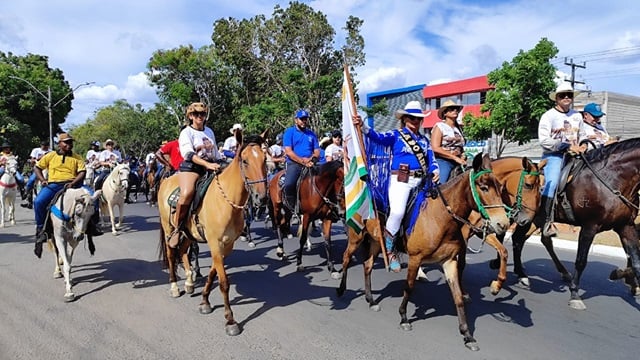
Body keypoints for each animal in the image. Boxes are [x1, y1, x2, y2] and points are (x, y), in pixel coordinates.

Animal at [158, 134, 268, 336]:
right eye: (245, 161)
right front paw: (230, 320)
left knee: (183, 251)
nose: (262, 198)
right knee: (171, 254)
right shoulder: (215, 243)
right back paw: (175, 287)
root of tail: (166, 181)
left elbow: (213, 272)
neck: (226, 202)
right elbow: (223, 281)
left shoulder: (226, 245)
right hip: (168, 228)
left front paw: (204, 302)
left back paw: (189, 283)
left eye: (265, 159)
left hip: (188, 233)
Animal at [336, 153, 510, 350]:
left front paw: (467, 335)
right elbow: (409, 286)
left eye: (500, 188)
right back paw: (341, 289)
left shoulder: (449, 261)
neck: (441, 217)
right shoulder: (415, 258)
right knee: (346, 258)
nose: (503, 224)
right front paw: (404, 317)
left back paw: (371, 300)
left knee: (368, 266)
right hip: (356, 237)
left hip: (375, 241)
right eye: (483, 187)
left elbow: (457, 296)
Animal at [504, 138, 640, 310]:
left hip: (532, 219)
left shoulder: (625, 226)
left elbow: (636, 262)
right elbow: (581, 260)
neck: (612, 178)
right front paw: (575, 294)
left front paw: (625, 278)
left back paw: (526, 273)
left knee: (523, 239)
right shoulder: (589, 227)